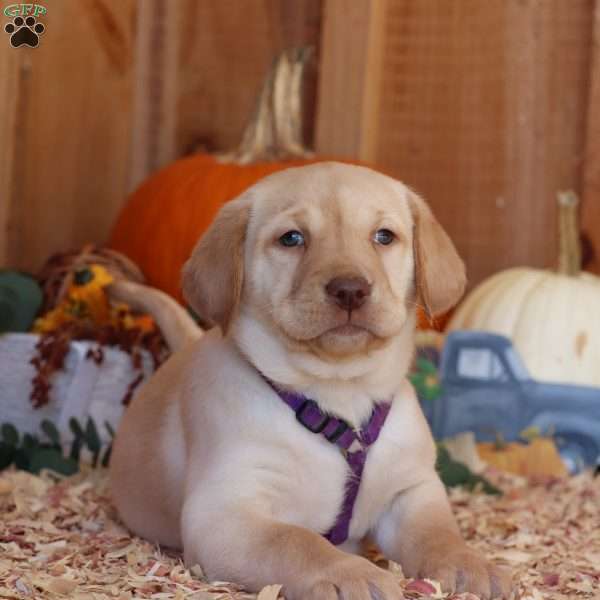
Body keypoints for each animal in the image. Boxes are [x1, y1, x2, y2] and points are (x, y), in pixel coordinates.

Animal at [109, 162, 510, 596]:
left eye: (384, 236)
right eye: (292, 238)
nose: (350, 290)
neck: (337, 393)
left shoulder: (412, 489)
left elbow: (439, 532)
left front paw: (470, 563)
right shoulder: (225, 512)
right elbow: (296, 541)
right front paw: (350, 573)